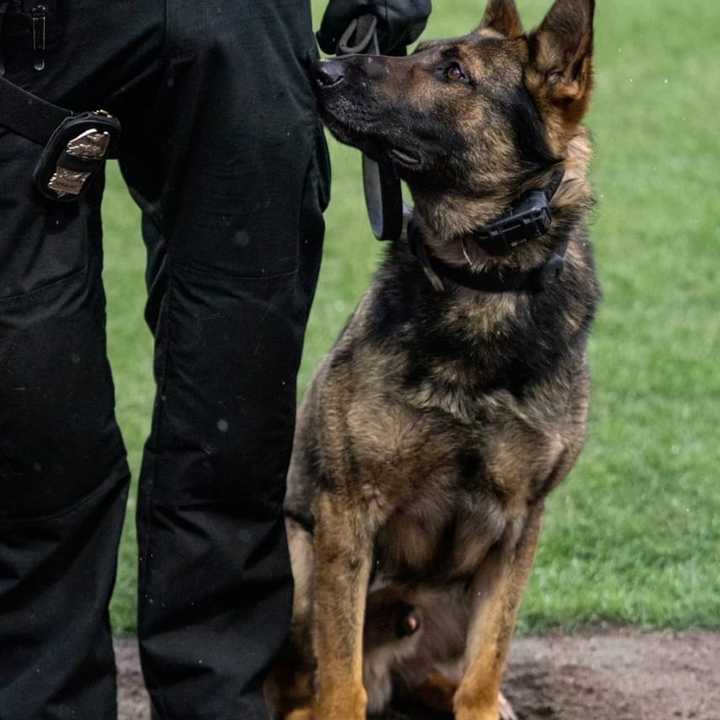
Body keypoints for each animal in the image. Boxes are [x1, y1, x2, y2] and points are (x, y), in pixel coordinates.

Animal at [268, 1, 600, 720]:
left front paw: (483, 702)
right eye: (417, 53)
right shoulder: (346, 513)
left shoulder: (520, 525)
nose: (323, 70)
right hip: (298, 566)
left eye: (454, 72)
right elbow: (342, 679)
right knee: (308, 686)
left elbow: (486, 665)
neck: (481, 283)